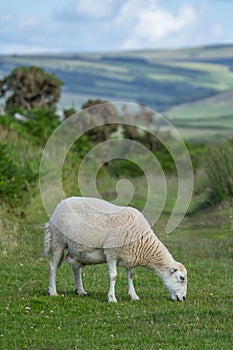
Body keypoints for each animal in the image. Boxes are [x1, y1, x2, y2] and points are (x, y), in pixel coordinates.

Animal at [44, 197, 187, 300]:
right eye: (181, 278)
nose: (184, 298)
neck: (143, 243)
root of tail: (62, 202)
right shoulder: (111, 254)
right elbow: (113, 276)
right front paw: (112, 297)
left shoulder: (130, 257)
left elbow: (130, 276)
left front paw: (133, 296)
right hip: (57, 240)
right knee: (53, 266)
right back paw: (53, 291)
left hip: (77, 249)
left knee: (76, 268)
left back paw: (80, 290)